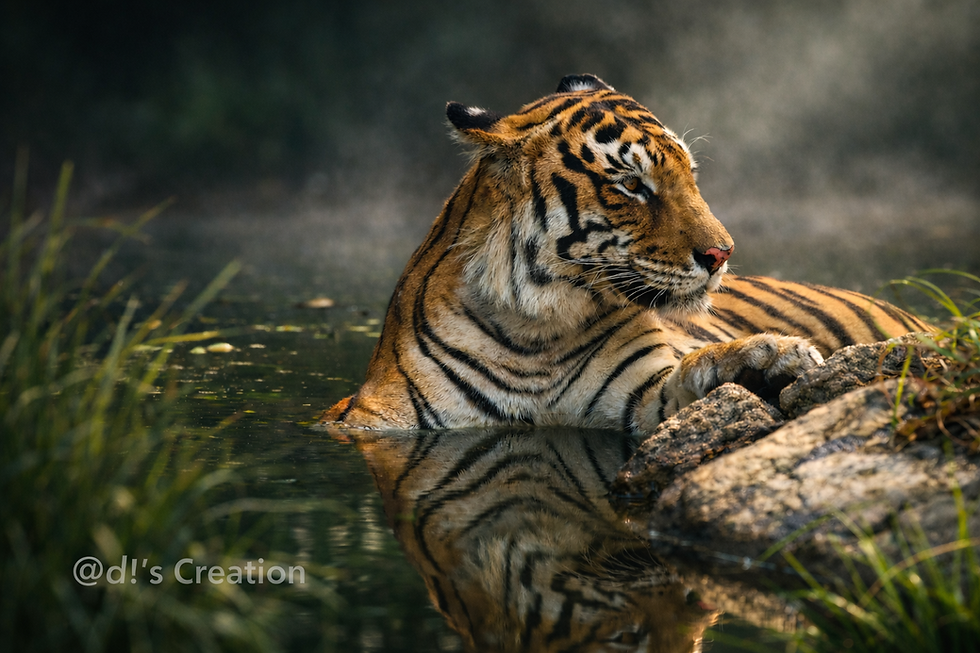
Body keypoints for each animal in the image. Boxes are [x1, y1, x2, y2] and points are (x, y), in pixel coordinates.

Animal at [320, 74, 929, 434]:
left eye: (690, 173)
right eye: (633, 185)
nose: (722, 254)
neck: (533, 332)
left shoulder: (643, 398)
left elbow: (693, 369)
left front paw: (770, 359)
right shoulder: (370, 419)